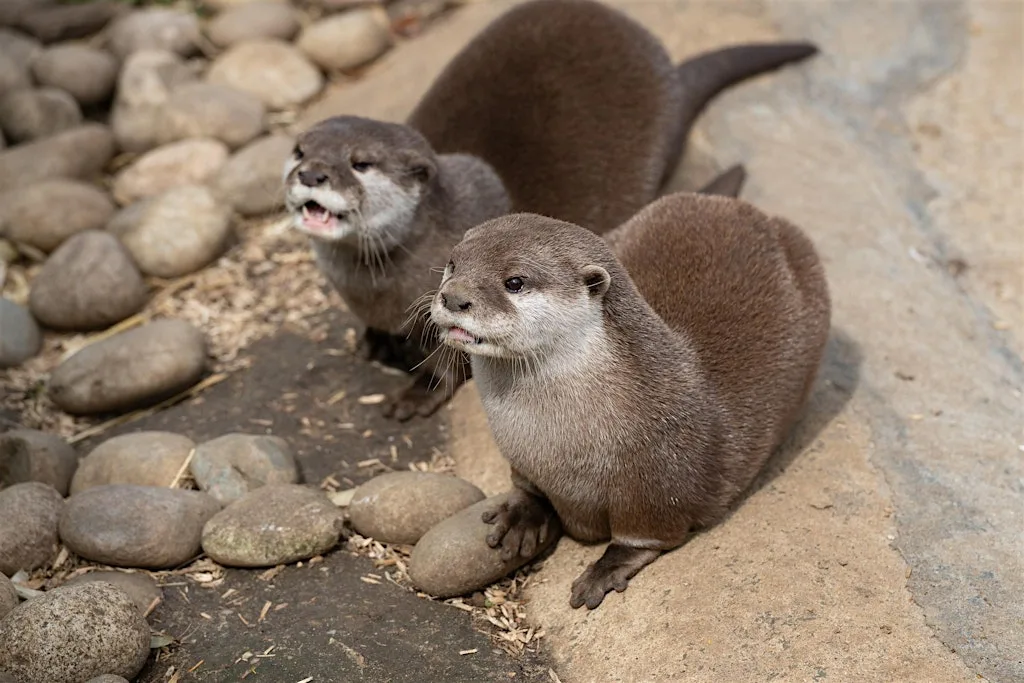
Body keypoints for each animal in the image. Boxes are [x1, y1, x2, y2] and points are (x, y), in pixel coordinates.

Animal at [285, 0, 818, 418]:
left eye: (361, 163)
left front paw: (417, 394)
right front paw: (374, 340)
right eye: (298, 149)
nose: (312, 173)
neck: (373, 287)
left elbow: (449, 357)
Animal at [428, 193, 831, 609]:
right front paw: (521, 515)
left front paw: (606, 569)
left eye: (514, 282)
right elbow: (528, 487)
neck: (559, 447)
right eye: (453, 263)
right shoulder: (523, 458)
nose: (454, 297)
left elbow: (644, 535)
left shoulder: (658, 482)